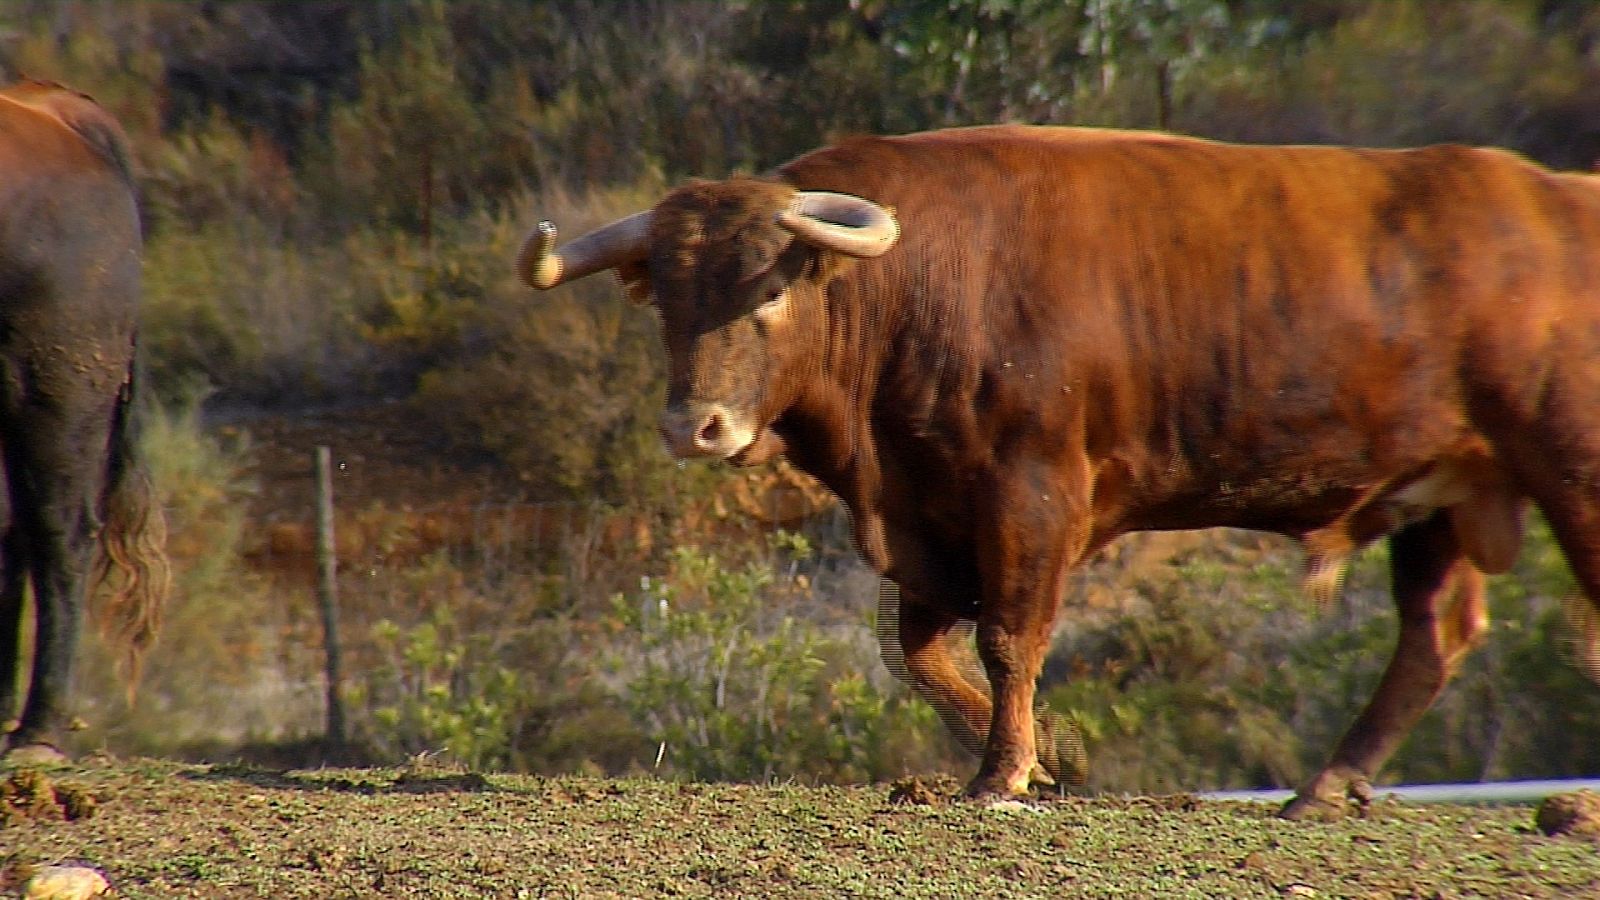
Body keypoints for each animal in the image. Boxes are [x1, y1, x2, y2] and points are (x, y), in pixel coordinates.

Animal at [515, 122, 1600, 816]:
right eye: (665, 299)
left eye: (767, 292)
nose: (693, 428)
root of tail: (1555, 192)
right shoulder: (931, 516)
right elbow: (918, 651)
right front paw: (1046, 757)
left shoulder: (1028, 496)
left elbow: (1008, 640)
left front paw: (1004, 774)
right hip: (1442, 495)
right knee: (1433, 636)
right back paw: (1326, 787)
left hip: (1568, 470)